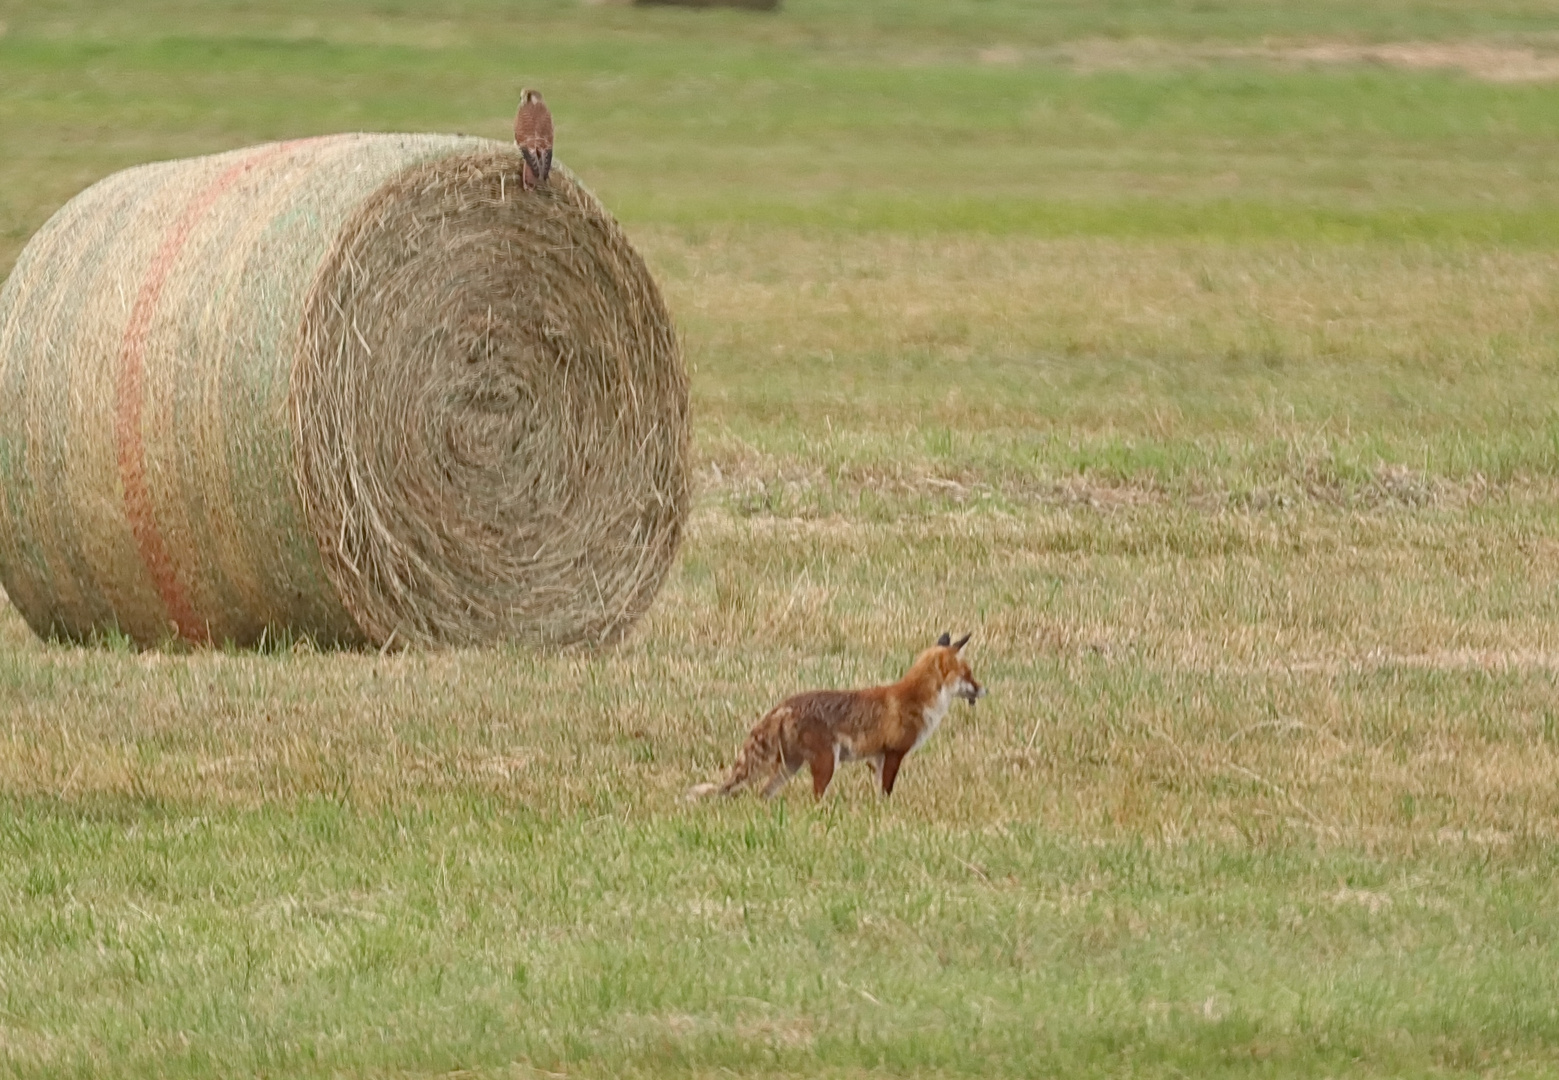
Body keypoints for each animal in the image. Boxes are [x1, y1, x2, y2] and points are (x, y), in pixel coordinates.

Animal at [685, 626, 979, 794]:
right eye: (968, 674)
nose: (983, 690)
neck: (915, 699)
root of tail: (784, 705)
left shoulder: (878, 757)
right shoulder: (893, 753)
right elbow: (886, 791)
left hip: (790, 766)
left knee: (763, 794)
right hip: (826, 763)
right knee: (813, 798)